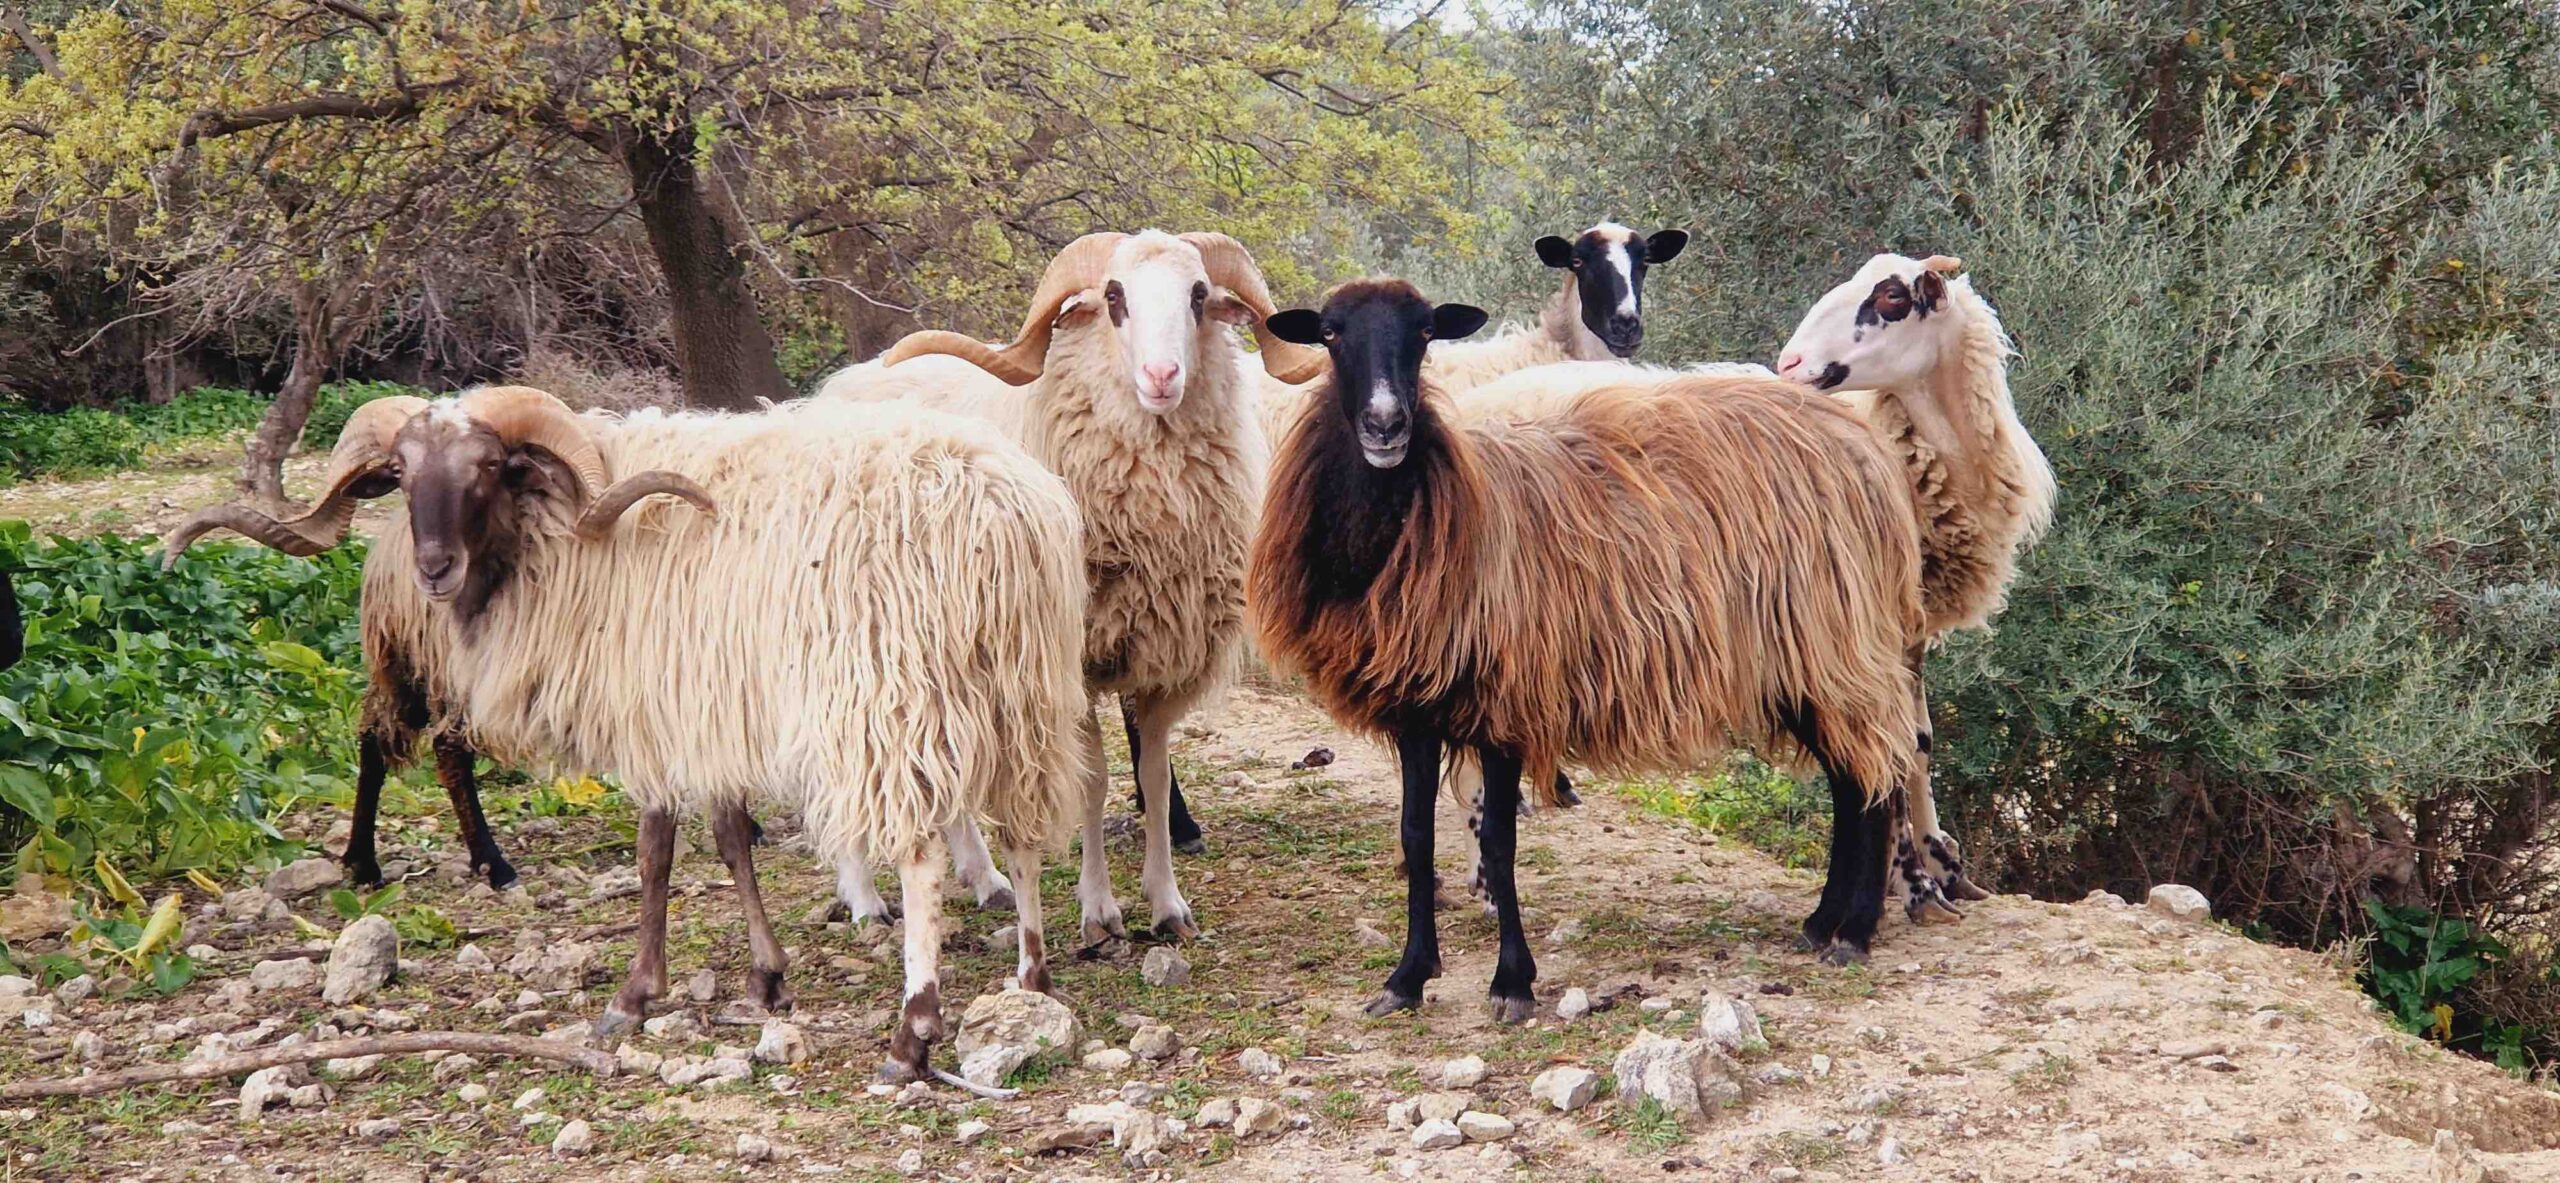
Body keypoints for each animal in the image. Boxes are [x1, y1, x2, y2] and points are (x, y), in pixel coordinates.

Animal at [157, 389, 1080, 1080]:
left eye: (488, 467)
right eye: (400, 471)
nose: (432, 568)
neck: (558, 536)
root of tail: (998, 515)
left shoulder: (655, 711)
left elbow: (656, 852)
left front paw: (633, 998)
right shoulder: (701, 710)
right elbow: (729, 838)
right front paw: (765, 980)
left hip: (891, 699)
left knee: (922, 856)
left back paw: (912, 1033)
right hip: (1022, 691)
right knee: (1027, 830)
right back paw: (1030, 980)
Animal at [819, 233, 1331, 952]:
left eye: (1199, 295)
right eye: (1113, 297)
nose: (1163, 377)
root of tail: (843, 383)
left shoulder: (1160, 656)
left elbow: (1152, 775)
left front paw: (1167, 904)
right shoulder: (1075, 663)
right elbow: (1093, 780)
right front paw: (1099, 909)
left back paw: (986, 880)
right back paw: (865, 897)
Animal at [1249, 275, 1925, 1019]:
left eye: (1424, 333)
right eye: (1331, 334)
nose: (1386, 425)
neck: (1438, 512)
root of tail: (1859, 443)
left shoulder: (1506, 701)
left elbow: (1500, 841)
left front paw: (1512, 982)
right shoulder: (1417, 708)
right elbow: (1415, 837)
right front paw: (1407, 977)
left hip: (1838, 645)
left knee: (1878, 778)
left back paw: (1855, 930)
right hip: (1798, 664)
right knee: (1848, 780)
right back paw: (1822, 920)